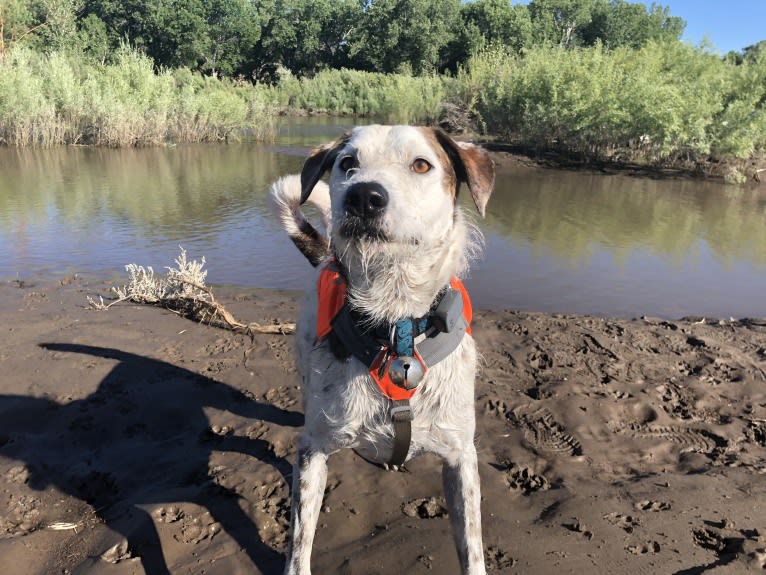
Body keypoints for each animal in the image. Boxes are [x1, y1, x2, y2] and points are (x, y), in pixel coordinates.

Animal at [272, 126, 496, 575]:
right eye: (347, 164)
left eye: (422, 164)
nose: (363, 196)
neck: (395, 327)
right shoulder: (313, 452)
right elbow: (300, 544)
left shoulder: (461, 457)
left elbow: (472, 545)